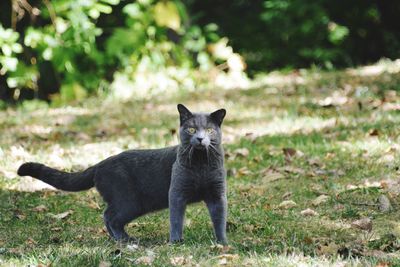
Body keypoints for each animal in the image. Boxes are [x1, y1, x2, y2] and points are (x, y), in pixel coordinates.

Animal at [16, 104, 228, 245]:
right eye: (191, 129)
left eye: (209, 130)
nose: (200, 138)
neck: (201, 164)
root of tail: (100, 164)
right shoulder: (177, 193)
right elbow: (176, 219)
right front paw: (176, 242)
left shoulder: (217, 194)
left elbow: (219, 219)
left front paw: (223, 243)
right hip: (130, 201)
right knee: (109, 216)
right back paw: (126, 240)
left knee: (108, 215)